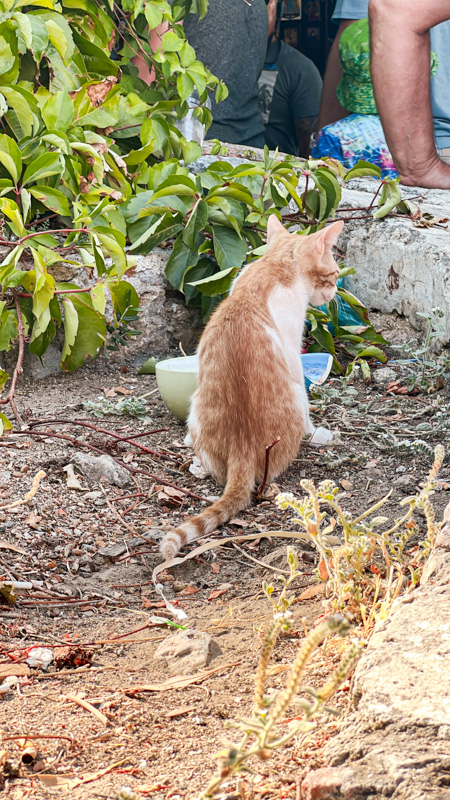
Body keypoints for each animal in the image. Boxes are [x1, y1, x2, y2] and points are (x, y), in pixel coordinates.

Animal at [162, 216, 344, 560]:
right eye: (335, 274)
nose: (335, 293)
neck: (273, 265)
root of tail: (242, 449)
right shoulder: (291, 349)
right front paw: (318, 431)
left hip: (196, 410)